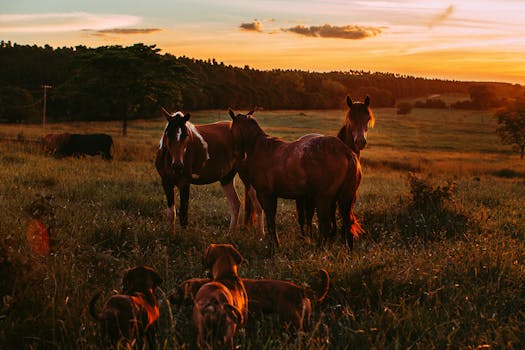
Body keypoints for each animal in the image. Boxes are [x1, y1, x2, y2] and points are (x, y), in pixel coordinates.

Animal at [227, 108, 362, 247]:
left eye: (231, 130)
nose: (238, 155)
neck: (260, 147)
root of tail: (346, 152)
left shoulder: (265, 194)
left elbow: (270, 220)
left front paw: (274, 245)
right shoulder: (272, 195)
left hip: (323, 199)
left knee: (326, 226)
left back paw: (318, 248)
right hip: (345, 199)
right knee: (347, 223)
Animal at [296, 95, 374, 242]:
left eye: (367, 118)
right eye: (350, 118)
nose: (360, 141)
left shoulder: (349, 196)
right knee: (305, 217)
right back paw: (307, 237)